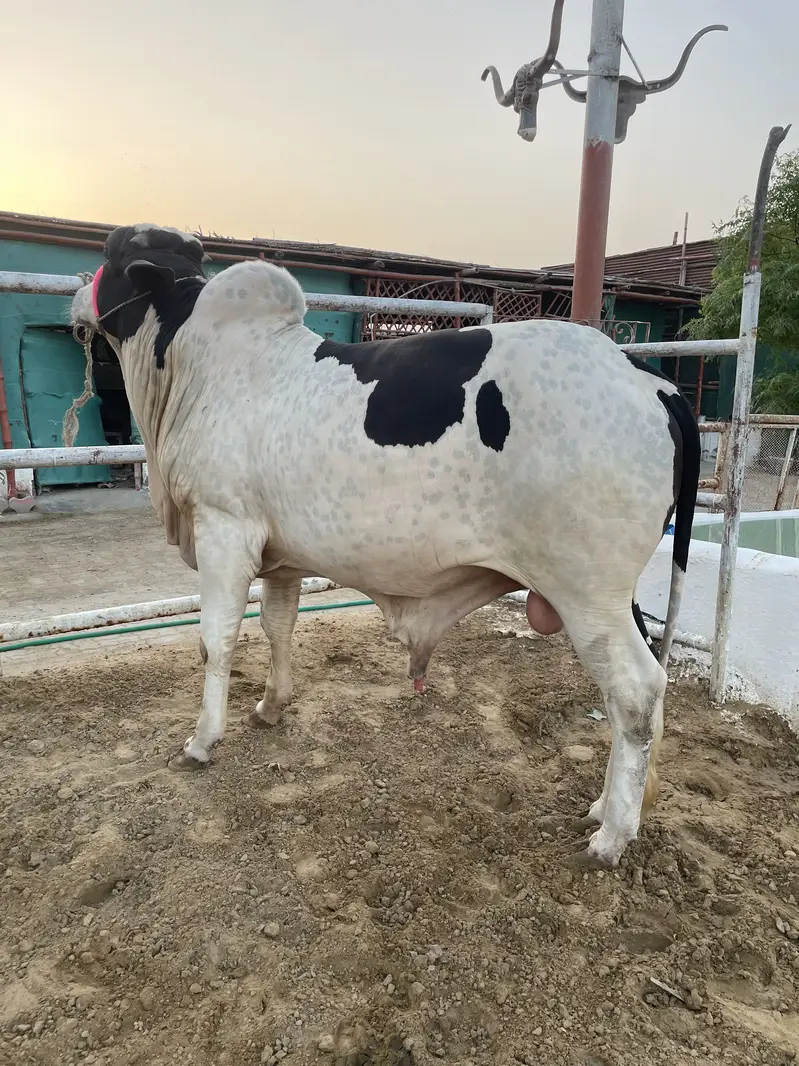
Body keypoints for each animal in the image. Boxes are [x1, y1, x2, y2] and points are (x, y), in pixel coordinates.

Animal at [70, 223, 700, 868]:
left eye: (113, 253)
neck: (194, 366)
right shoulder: (282, 556)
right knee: (644, 693)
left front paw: (201, 740)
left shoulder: (223, 527)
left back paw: (611, 835)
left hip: (588, 593)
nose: (77, 293)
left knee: (636, 693)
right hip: (618, 597)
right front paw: (271, 706)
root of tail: (649, 380)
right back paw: (604, 808)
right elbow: (277, 626)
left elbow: (215, 640)